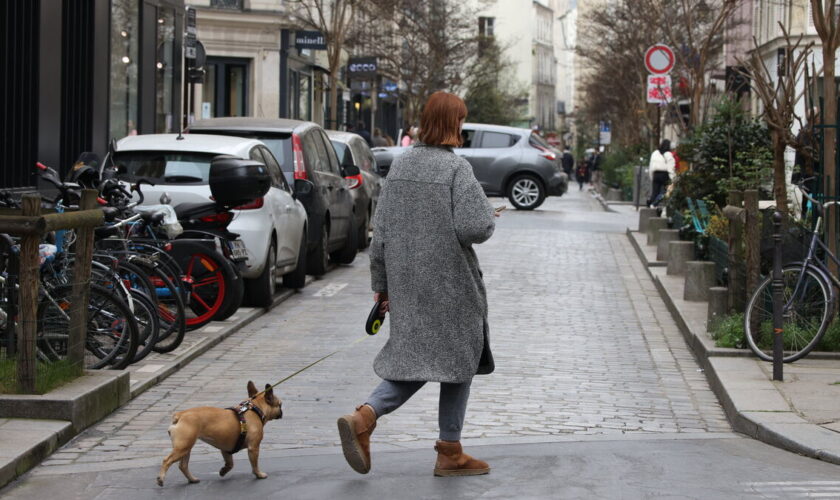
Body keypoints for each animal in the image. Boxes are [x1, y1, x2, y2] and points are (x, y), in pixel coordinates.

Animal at [158, 380, 286, 486]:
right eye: (280, 404)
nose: (282, 412)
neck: (256, 408)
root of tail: (180, 415)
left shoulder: (226, 449)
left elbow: (230, 463)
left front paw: (223, 471)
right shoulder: (253, 448)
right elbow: (254, 464)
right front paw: (259, 474)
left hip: (186, 447)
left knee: (183, 465)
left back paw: (192, 479)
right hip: (183, 446)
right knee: (167, 460)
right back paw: (160, 479)